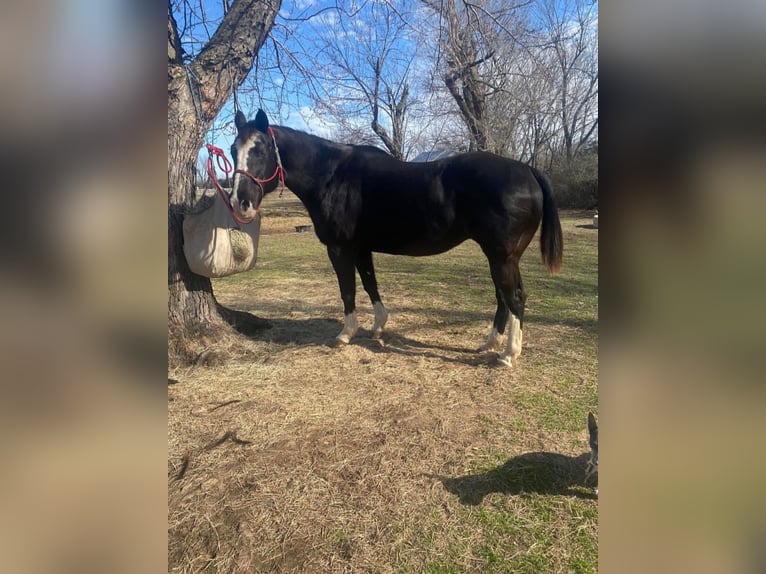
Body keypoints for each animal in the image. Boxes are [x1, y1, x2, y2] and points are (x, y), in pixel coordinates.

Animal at [230, 110, 564, 366]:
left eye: (260, 150)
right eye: (233, 150)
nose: (240, 202)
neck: (332, 176)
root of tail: (528, 171)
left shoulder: (340, 249)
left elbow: (348, 291)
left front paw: (345, 334)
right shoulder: (361, 248)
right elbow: (370, 285)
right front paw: (378, 327)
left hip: (501, 256)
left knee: (514, 297)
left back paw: (508, 355)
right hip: (499, 256)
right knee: (503, 297)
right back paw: (490, 344)